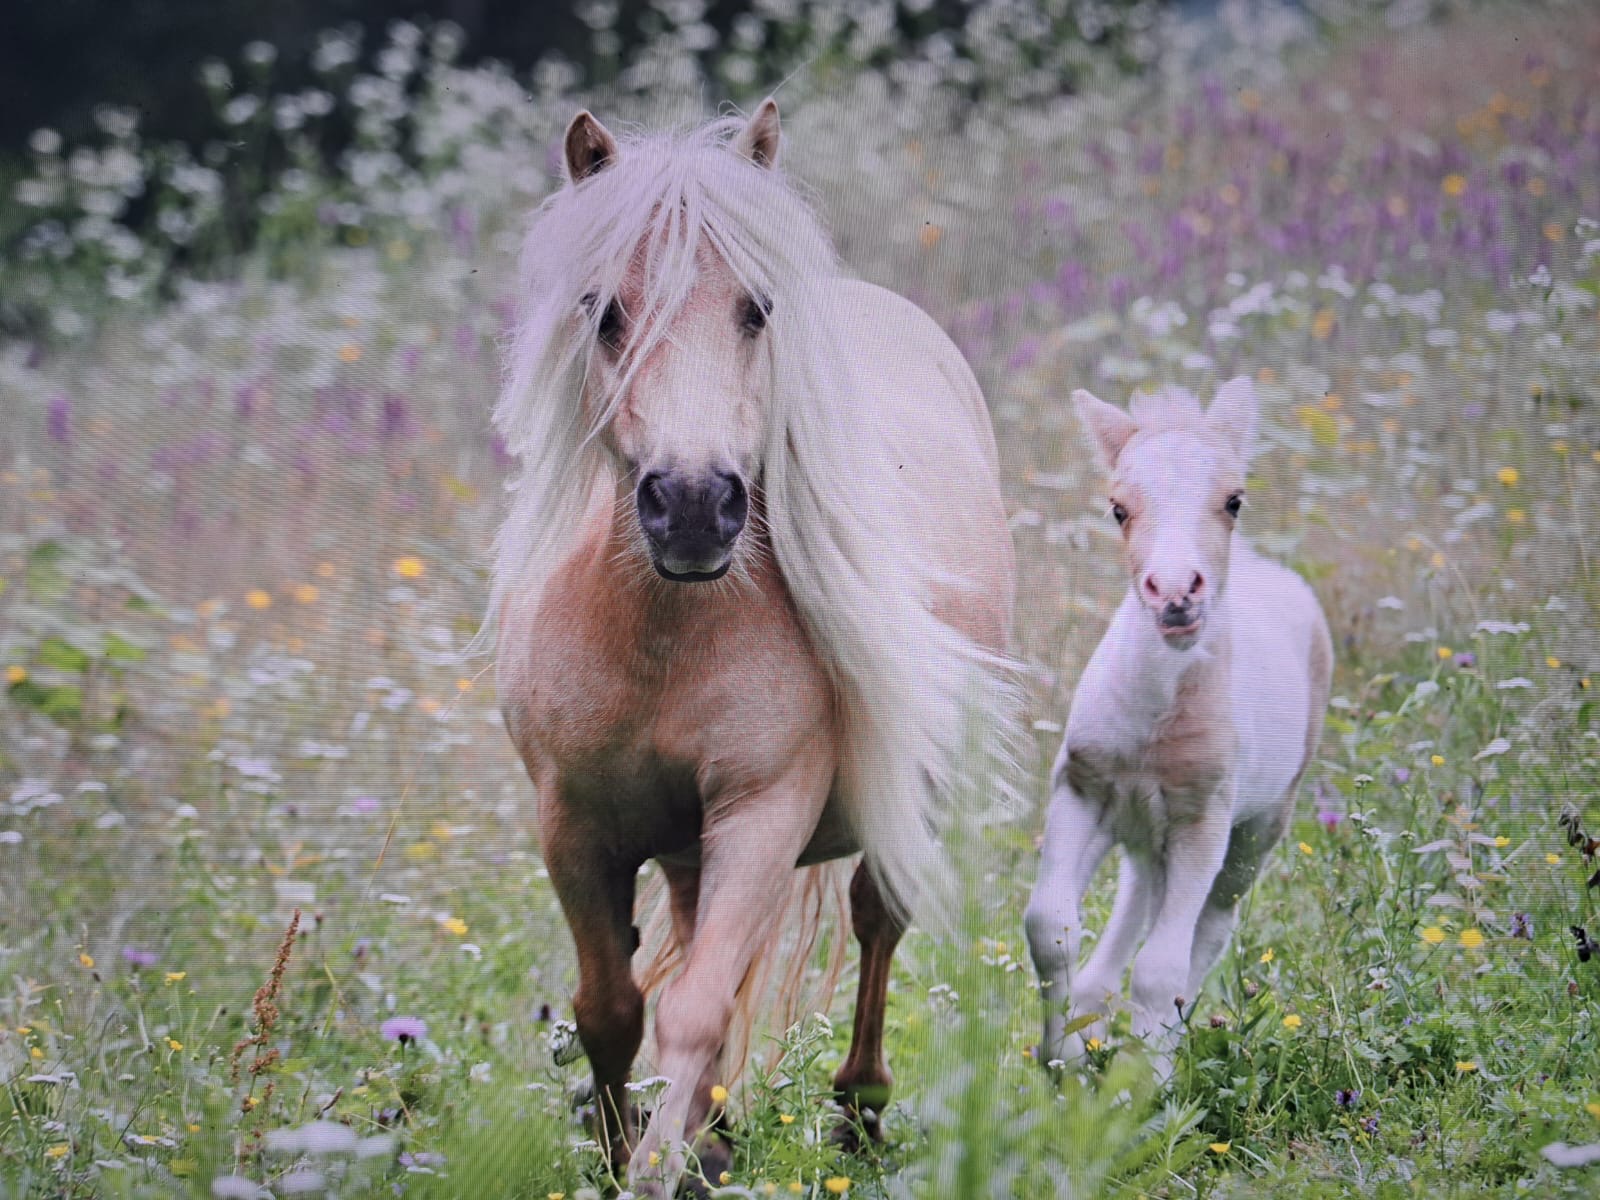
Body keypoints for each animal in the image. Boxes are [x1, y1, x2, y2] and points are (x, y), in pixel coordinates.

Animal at [490, 99, 1018, 1195]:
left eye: (756, 310)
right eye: (605, 313)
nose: (694, 505)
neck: (659, 636)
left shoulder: (763, 813)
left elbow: (693, 1010)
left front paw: (656, 1170)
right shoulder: (571, 825)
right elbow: (612, 1011)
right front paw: (631, 1155)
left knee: (875, 919)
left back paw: (857, 1111)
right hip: (690, 851)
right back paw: (720, 1132)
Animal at [1024, 377, 1331, 1077]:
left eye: (1234, 500)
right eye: (1117, 508)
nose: (1174, 595)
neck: (1154, 718)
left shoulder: (1203, 821)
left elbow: (1162, 970)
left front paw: (1137, 1088)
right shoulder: (1080, 789)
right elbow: (1049, 927)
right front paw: (1060, 1059)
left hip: (1256, 827)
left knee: (1210, 926)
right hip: (1140, 828)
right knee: (1140, 894)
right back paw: (1095, 1027)